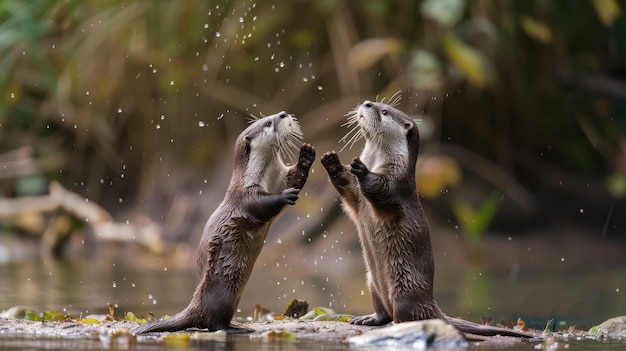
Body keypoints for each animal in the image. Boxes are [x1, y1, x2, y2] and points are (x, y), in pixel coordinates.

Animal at [133, 112, 314, 336]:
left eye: (272, 117)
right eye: (268, 123)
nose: (283, 114)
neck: (265, 179)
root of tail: (195, 304)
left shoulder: (280, 178)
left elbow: (295, 178)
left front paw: (306, 157)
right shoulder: (243, 195)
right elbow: (260, 205)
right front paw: (284, 196)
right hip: (221, 294)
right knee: (213, 324)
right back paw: (236, 329)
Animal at [322, 96, 532, 338]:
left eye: (385, 112)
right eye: (376, 104)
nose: (366, 103)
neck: (377, 160)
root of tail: (431, 304)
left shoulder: (396, 183)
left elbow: (382, 190)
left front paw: (362, 170)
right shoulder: (356, 197)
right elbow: (349, 192)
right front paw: (331, 162)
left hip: (403, 290)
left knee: (405, 314)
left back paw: (399, 326)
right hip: (372, 284)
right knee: (383, 312)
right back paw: (369, 319)